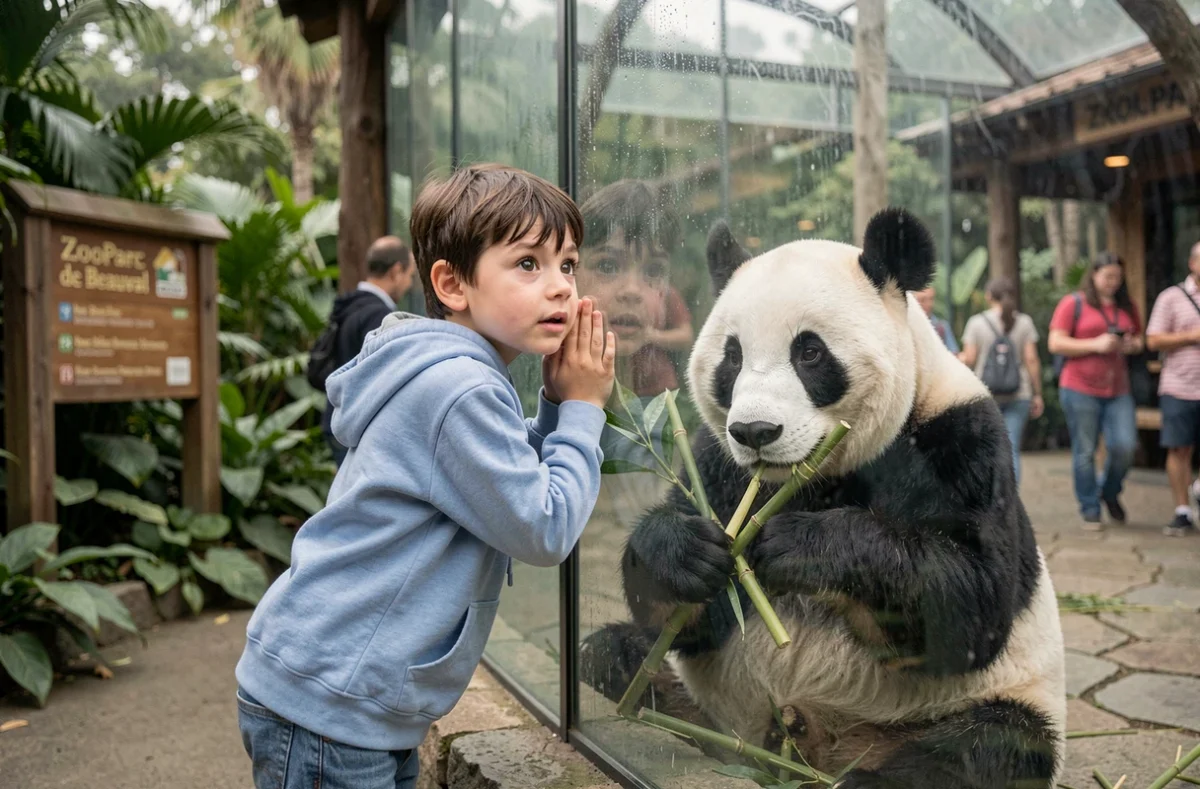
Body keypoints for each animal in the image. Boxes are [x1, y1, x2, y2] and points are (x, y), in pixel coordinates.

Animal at [581, 207, 1066, 788]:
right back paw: (651, 698)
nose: (755, 431)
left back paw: (868, 777)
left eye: (809, 352)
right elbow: (691, 618)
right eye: (732, 357)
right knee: (610, 652)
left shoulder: (962, 443)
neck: (814, 478)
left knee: (993, 746)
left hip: (976, 704)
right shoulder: (718, 464)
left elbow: (970, 603)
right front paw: (687, 553)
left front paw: (803, 547)